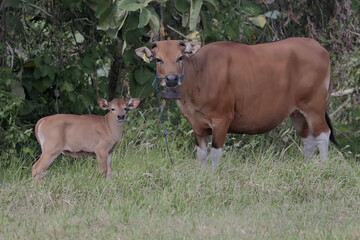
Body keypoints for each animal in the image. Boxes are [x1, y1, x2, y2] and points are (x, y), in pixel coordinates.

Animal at [136, 38, 338, 171]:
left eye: (180, 58)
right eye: (158, 59)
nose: (171, 79)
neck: (200, 74)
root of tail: (319, 48)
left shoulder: (222, 120)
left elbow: (215, 153)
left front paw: (212, 177)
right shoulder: (197, 125)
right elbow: (201, 154)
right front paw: (201, 176)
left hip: (314, 107)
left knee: (322, 135)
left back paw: (323, 167)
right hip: (297, 112)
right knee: (308, 140)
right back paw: (306, 167)